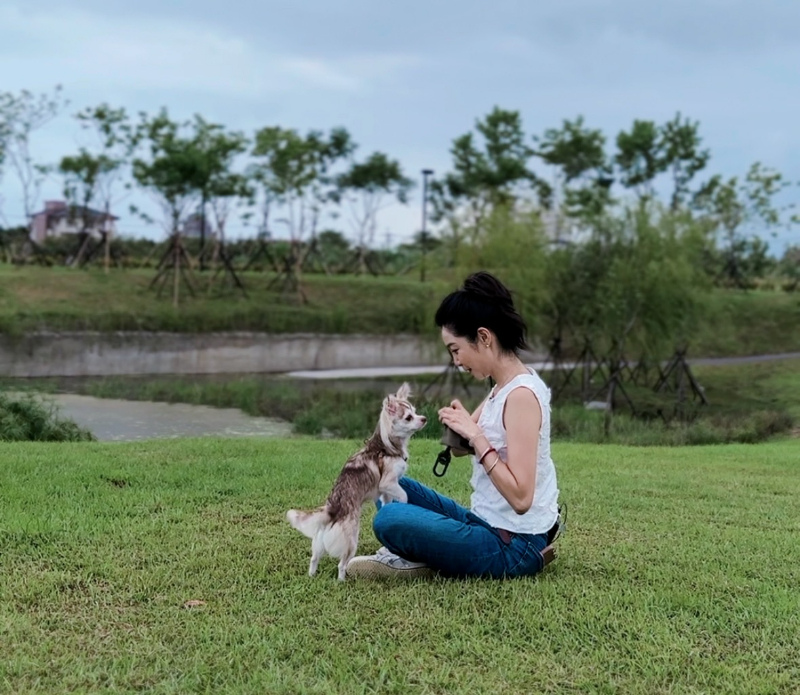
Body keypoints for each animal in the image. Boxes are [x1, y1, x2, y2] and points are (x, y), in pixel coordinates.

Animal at [286, 386, 424, 580]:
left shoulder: (385, 491)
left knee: (314, 559)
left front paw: (390, 508)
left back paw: (312, 576)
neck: (386, 448)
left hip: (320, 540)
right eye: (409, 417)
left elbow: (387, 502)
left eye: (416, 411)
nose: (424, 418)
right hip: (351, 540)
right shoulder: (387, 483)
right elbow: (403, 494)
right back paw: (342, 580)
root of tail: (332, 509)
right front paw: (403, 505)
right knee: (341, 565)